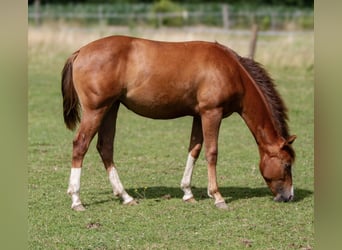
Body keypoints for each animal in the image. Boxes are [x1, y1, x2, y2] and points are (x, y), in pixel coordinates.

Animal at [62, 35, 296, 211]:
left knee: (106, 148)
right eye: (287, 164)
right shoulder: (212, 113)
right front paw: (218, 197)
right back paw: (76, 200)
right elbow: (212, 152)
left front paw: (188, 192)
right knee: (80, 146)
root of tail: (80, 52)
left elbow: (195, 149)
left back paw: (125, 196)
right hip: (96, 111)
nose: (289, 196)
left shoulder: (199, 115)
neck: (231, 70)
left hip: (111, 108)